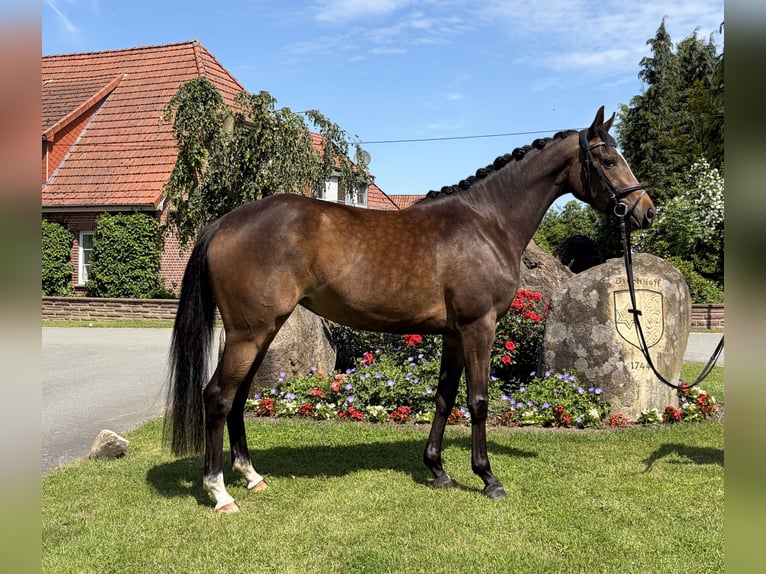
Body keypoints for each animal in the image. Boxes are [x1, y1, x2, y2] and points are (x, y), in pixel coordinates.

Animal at [166, 106, 655, 512]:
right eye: (608, 160)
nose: (646, 212)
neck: (486, 222)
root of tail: (223, 223)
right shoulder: (479, 327)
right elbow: (478, 401)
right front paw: (488, 478)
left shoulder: (454, 333)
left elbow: (443, 398)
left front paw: (437, 470)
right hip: (249, 333)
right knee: (218, 396)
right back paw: (220, 492)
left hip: (262, 331)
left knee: (238, 398)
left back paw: (251, 476)